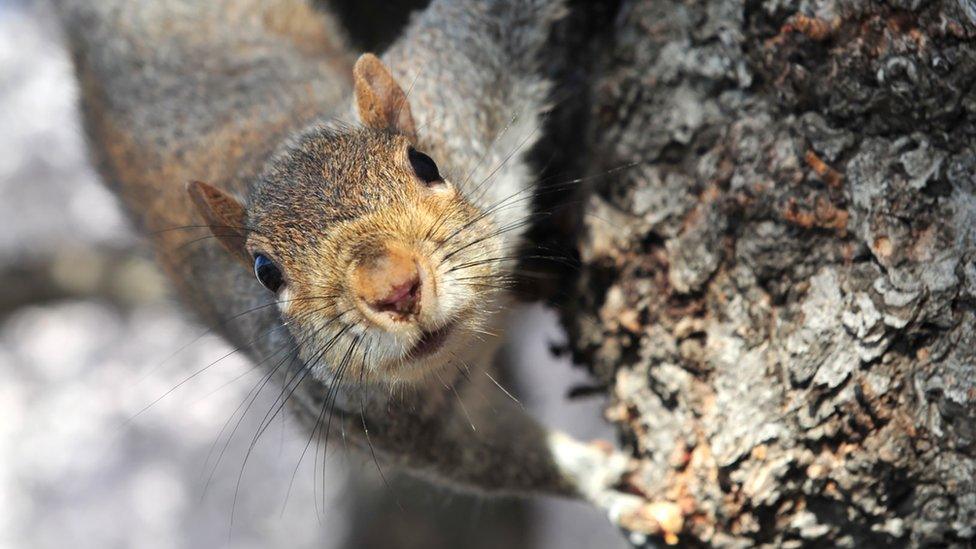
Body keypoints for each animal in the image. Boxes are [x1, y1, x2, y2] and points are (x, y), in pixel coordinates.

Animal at [53, 0, 680, 540]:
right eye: (264, 271)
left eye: (424, 162)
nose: (395, 290)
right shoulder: (374, 422)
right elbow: (501, 460)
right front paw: (610, 488)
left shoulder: (462, 95)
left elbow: (487, 20)